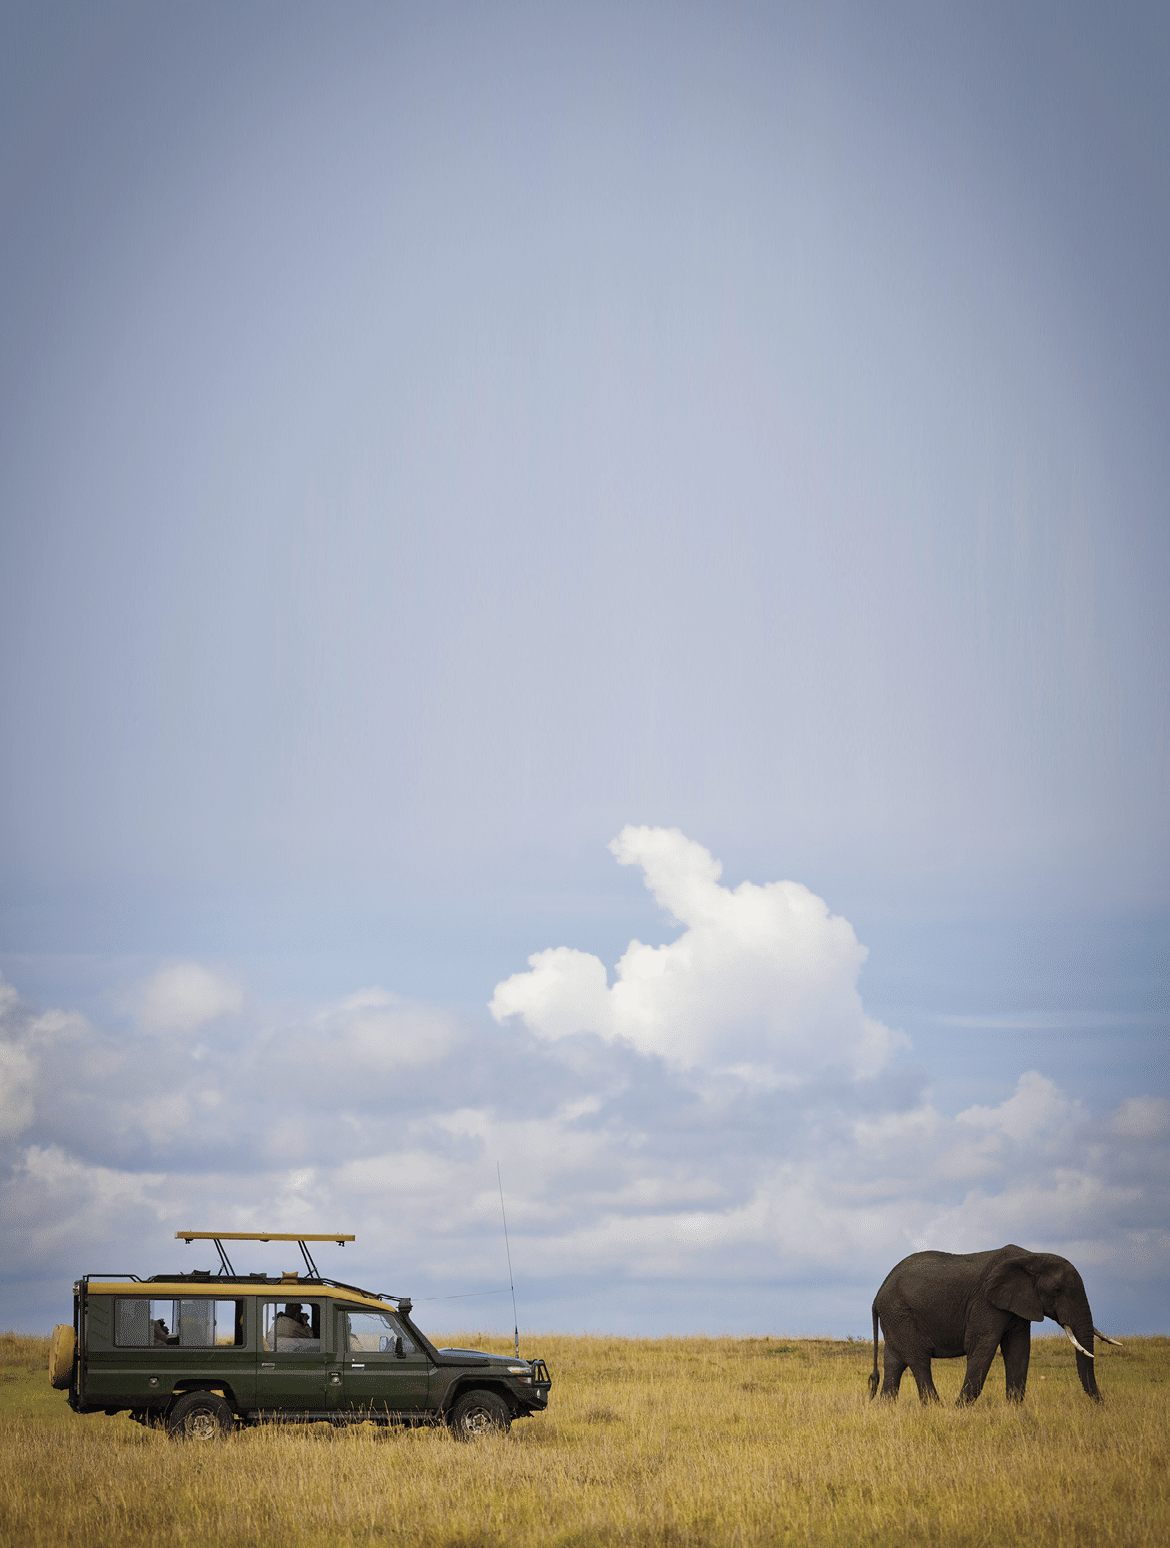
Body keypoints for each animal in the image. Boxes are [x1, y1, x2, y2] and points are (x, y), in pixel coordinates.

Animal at [868, 1244, 1122, 1405]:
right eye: (1057, 1291)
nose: (1103, 1405)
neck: (1032, 1257)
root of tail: (878, 1294)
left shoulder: (1018, 1306)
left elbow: (1019, 1349)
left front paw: (1014, 1408)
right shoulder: (986, 1302)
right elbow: (983, 1345)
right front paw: (960, 1408)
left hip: (896, 1317)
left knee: (894, 1362)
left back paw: (885, 1407)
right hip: (900, 1313)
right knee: (918, 1359)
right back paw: (936, 1408)